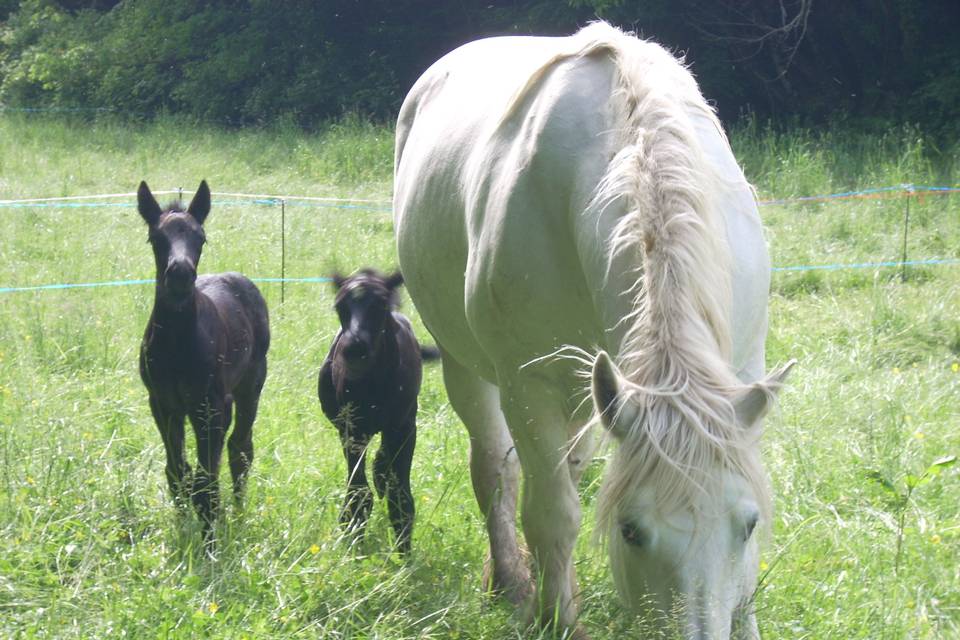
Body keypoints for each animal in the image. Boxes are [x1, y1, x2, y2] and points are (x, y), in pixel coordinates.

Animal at [137, 179, 270, 540]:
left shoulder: (212, 407)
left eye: (201, 238)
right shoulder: (162, 403)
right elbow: (177, 472)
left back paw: (238, 514)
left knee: (241, 448)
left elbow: (205, 482)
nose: (180, 275)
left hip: (251, 385)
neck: (176, 346)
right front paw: (184, 529)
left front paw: (211, 538)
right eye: (156, 238)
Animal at [318, 268, 432, 552]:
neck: (374, 385)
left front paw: (404, 551)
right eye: (340, 306)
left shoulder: (403, 426)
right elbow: (358, 491)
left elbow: (400, 496)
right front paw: (352, 534)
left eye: (381, 305)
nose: (355, 349)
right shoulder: (352, 428)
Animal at [394, 21, 792, 640]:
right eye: (631, 531)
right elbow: (553, 513)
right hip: (473, 372)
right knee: (496, 471)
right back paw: (510, 581)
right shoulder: (528, 387)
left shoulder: (737, 379)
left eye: (748, 525)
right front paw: (555, 617)